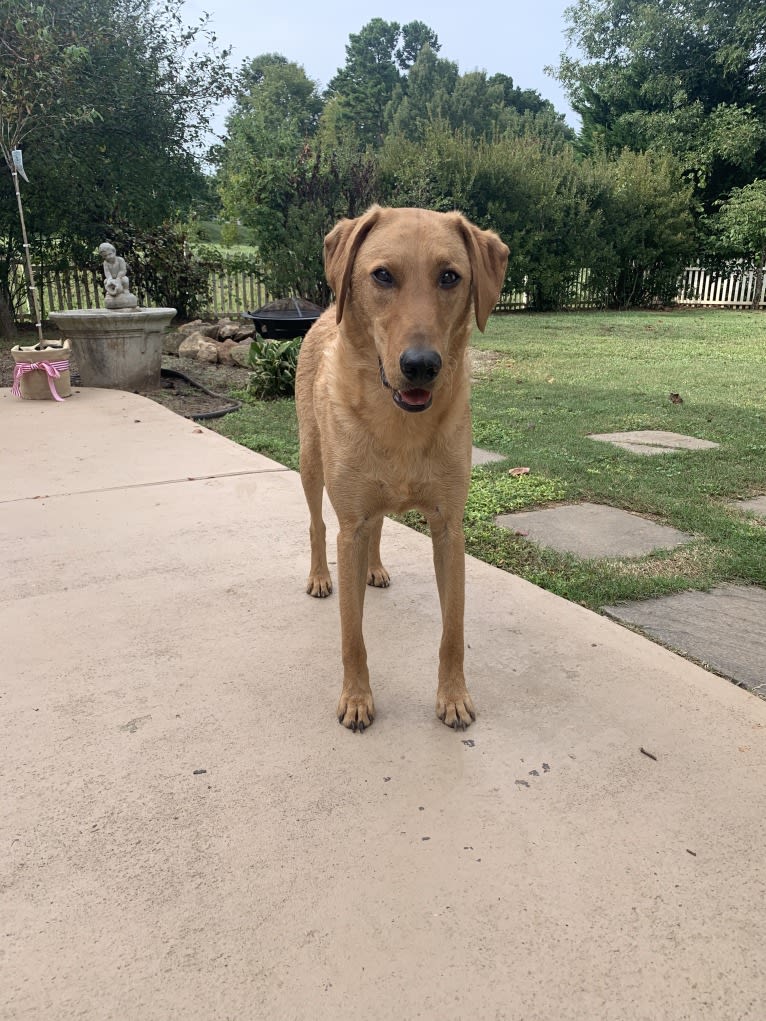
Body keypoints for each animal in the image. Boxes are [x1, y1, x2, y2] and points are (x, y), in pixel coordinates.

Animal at [296, 207, 510, 731]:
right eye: (382, 275)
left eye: (450, 276)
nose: (421, 366)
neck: (400, 426)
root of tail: (321, 314)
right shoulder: (350, 525)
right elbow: (352, 634)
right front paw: (356, 698)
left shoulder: (449, 529)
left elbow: (453, 631)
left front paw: (453, 697)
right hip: (311, 464)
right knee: (316, 524)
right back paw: (320, 576)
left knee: (378, 528)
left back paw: (373, 569)